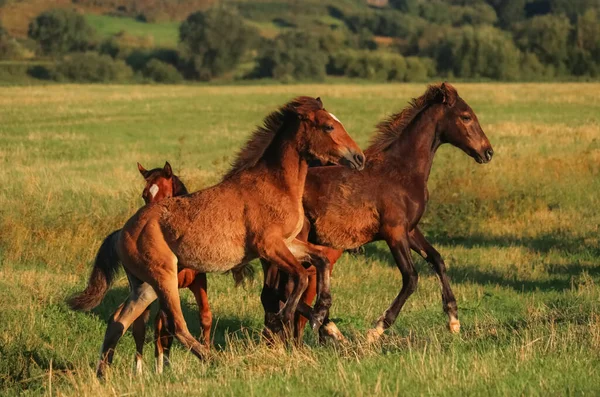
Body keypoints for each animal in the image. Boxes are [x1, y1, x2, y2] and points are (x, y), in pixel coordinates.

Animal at [95, 97, 364, 376]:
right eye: (328, 126)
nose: (359, 157)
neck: (275, 184)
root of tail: (123, 231)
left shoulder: (289, 243)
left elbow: (321, 259)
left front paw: (321, 311)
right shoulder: (269, 247)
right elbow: (300, 277)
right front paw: (283, 319)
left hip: (145, 286)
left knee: (119, 320)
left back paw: (103, 373)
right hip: (164, 278)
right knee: (175, 326)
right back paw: (214, 360)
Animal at [262, 83, 492, 344]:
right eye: (466, 117)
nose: (488, 152)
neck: (402, 171)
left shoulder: (410, 230)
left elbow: (437, 260)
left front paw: (454, 320)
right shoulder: (394, 233)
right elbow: (411, 278)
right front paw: (377, 329)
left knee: (276, 292)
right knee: (281, 291)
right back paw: (326, 326)